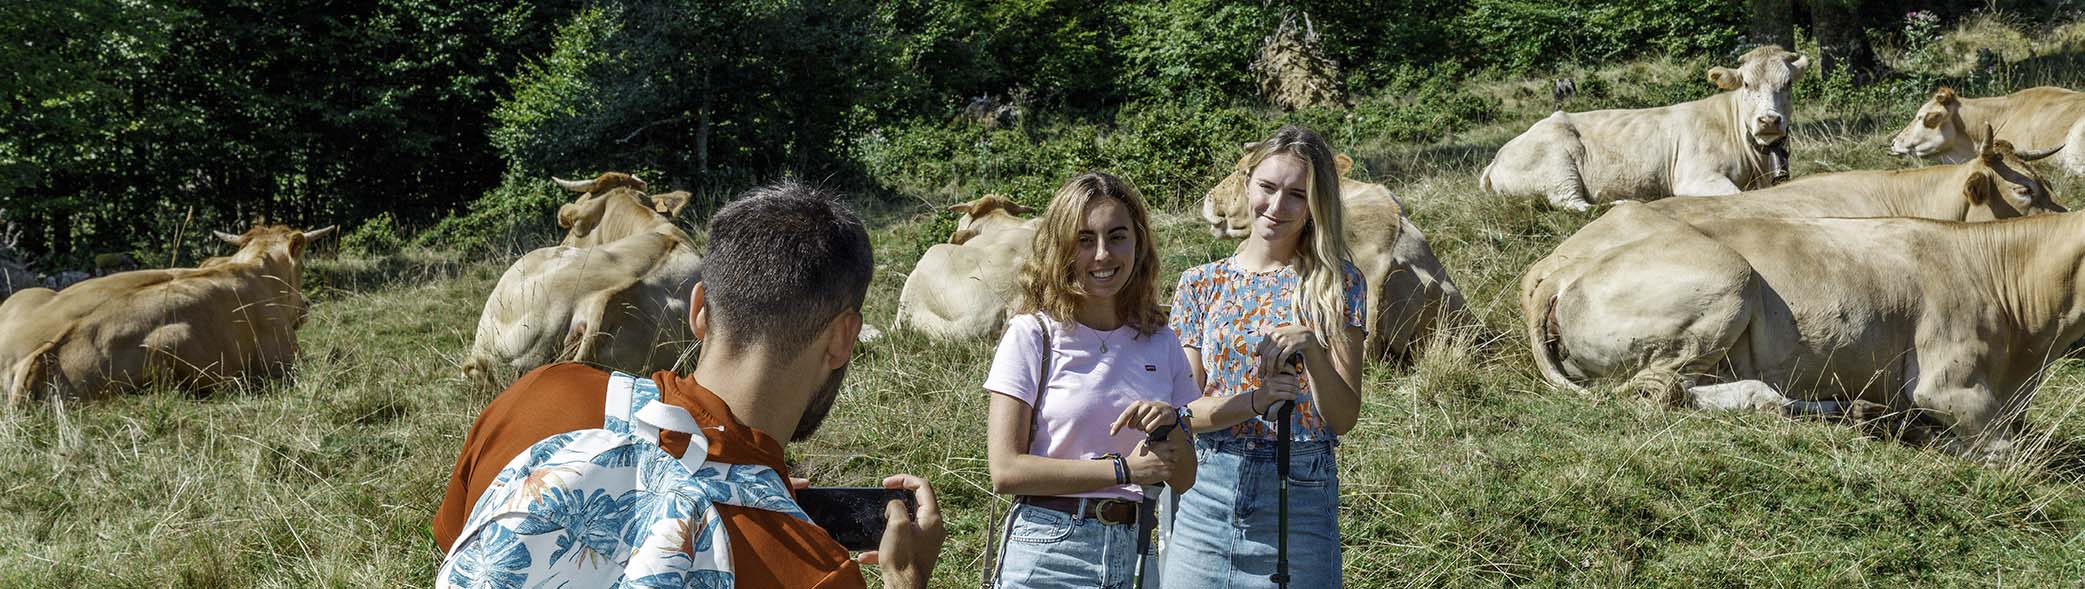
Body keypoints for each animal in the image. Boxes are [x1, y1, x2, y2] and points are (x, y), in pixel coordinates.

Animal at [0, 225, 329, 405]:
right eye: (301, 266)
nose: (306, 305)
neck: (255, 269)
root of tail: (45, 354)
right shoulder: (288, 360)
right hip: (170, 342)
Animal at [1484, 46, 1809, 211]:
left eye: (1788, 83)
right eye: (1746, 84)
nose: (1769, 120)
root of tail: (1497, 157)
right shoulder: (1694, 177)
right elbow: (1736, 196)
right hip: (1557, 168)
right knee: (1574, 203)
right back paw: (1624, 202)